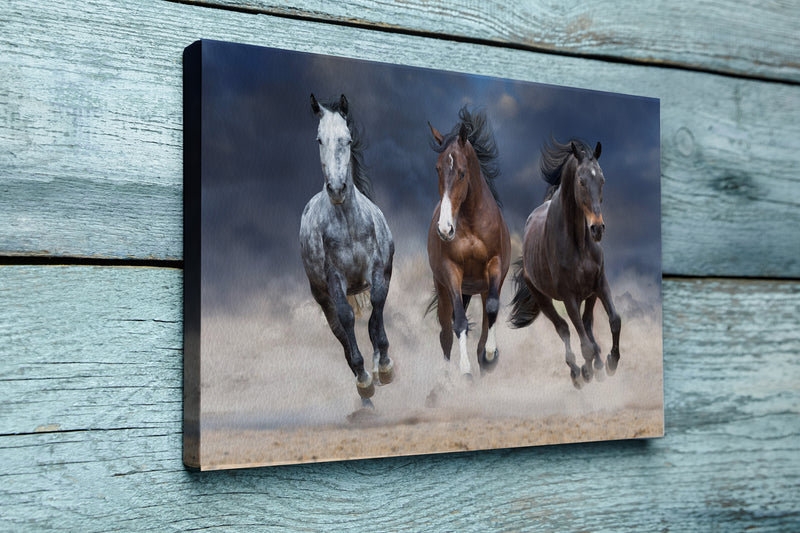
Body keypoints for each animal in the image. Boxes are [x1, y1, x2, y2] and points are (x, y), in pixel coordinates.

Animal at [300, 94, 394, 404]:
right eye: (319, 139)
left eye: (348, 138)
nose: (337, 189)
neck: (348, 226)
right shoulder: (334, 280)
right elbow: (347, 319)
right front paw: (364, 379)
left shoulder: (378, 271)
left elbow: (376, 309)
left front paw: (384, 367)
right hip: (322, 298)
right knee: (341, 334)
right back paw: (366, 400)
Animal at [428, 106, 510, 376]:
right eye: (438, 169)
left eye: (462, 173)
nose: (445, 229)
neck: (473, 223)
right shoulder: (451, 270)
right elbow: (460, 322)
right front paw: (464, 370)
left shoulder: (494, 266)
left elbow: (492, 310)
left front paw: (490, 354)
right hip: (445, 289)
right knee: (445, 332)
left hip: (480, 288)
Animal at [510, 137, 620, 386]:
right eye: (581, 181)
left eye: (602, 180)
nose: (597, 229)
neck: (578, 243)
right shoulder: (568, 296)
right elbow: (583, 343)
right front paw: (587, 372)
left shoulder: (600, 283)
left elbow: (614, 320)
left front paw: (611, 362)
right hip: (543, 298)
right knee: (564, 329)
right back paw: (577, 372)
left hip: (589, 294)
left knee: (586, 323)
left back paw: (599, 364)